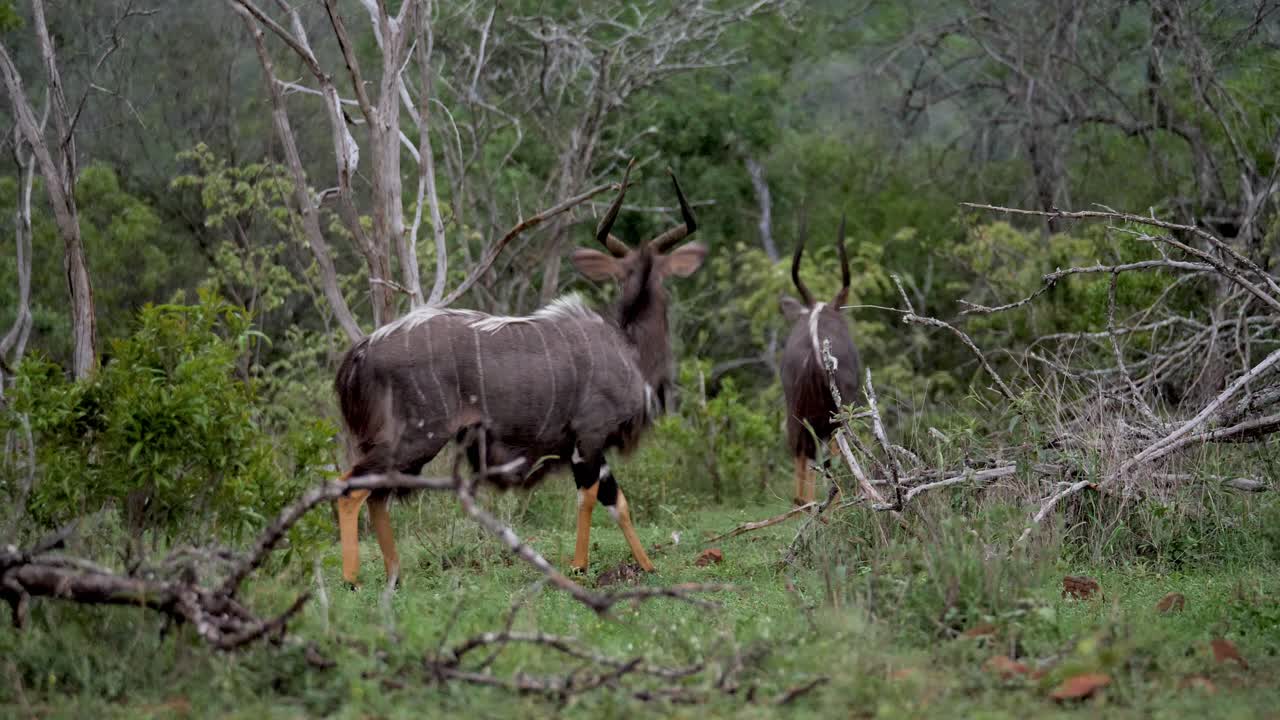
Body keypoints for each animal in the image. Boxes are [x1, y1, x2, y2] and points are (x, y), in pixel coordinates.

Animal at [333, 163, 706, 587]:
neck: (628, 346)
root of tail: (364, 348)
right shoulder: (590, 436)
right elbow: (589, 497)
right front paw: (578, 567)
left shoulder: (586, 445)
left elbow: (617, 501)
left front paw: (646, 566)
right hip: (417, 439)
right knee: (350, 489)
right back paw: (352, 581)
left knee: (377, 494)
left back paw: (395, 576)